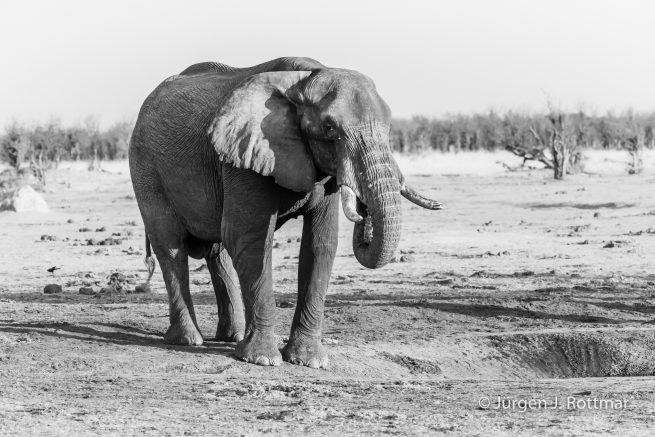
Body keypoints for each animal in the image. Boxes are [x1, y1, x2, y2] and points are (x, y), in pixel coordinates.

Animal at [129, 57, 442, 368]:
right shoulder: (244, 157)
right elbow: (250, 240)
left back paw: (232, 337)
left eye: (389, 127)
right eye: (330, 128)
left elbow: (320, 244)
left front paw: (309, 361)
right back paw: (188, 340)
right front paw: (263, 359)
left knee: (217, 253)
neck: (303, 79)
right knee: (171, 246)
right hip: (146, 168)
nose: (364, 213)